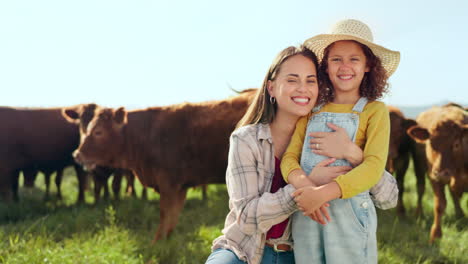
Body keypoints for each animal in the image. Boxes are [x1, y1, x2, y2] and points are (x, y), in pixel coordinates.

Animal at [63, 89, 256, 241]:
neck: (147, 133)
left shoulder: (169, 185)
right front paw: (167, 240)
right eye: (84, 129)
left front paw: (156, 242)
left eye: (98, 131)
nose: (77, 154)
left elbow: (165, 214)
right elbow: (172, 217)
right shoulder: (180, 187)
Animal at [408, 104, 466, 242]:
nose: (440, 173)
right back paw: (419, 214)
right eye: (431, 144)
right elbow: (439, 205)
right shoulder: (434, 179)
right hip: (419, 168)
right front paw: (436, 234)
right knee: (420, 188)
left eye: (456, 144)